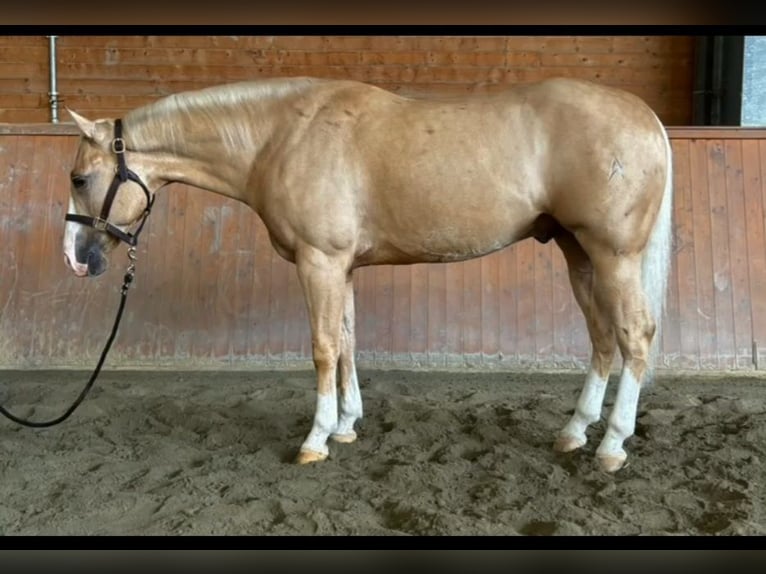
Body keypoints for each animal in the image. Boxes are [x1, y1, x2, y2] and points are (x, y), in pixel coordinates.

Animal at [63, 76, 673, 473]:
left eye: (77, 178)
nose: (75, 257)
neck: (282, 136)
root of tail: (646, 117)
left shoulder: (320, 261)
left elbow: (323, 348)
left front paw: (315, 439)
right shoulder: (343, 267)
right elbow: (349, 342)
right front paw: (346, 425)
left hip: (613, 255)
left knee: (635, 336)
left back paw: (612, 445)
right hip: (578, 253)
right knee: (602, 338)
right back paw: (573, 432)